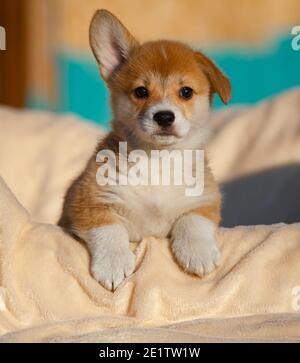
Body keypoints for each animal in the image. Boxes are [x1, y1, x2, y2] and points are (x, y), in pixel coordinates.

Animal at [58, 9, 232, 292]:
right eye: (141, 91)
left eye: (186, 92)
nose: (164, 116)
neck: (157, 160)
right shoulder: (86, 201)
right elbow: (109, 229)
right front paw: (114, 264)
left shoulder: (205, 201)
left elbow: (193, 221)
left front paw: (197, 253)